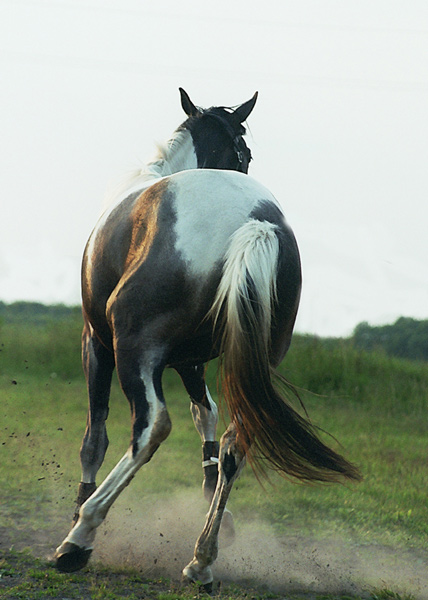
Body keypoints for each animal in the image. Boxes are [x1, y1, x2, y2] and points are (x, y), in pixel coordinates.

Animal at [55, 88, 360, 584]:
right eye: (245, 153)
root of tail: (257, 220)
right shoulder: (192, 358)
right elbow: (207, 414)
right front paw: (213, 491)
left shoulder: (96, 343)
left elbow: (94, 436)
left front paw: (80, 509)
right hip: (242, 360)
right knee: (238, 439)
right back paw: (201, 558)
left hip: (134, 348)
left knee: (152, 426)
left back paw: (80, 536)